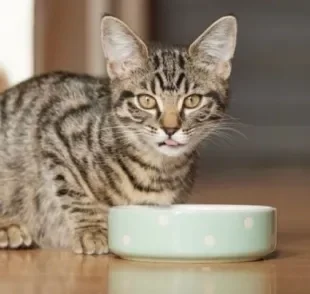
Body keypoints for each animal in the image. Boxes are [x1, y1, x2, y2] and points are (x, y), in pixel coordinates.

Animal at [0, 13, 237, 254]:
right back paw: (8, 227)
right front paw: (92, 230)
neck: (157, 170)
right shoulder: (55, 131)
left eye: (192, 101)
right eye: (146, 100)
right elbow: (73, 190)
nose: (170, 129)